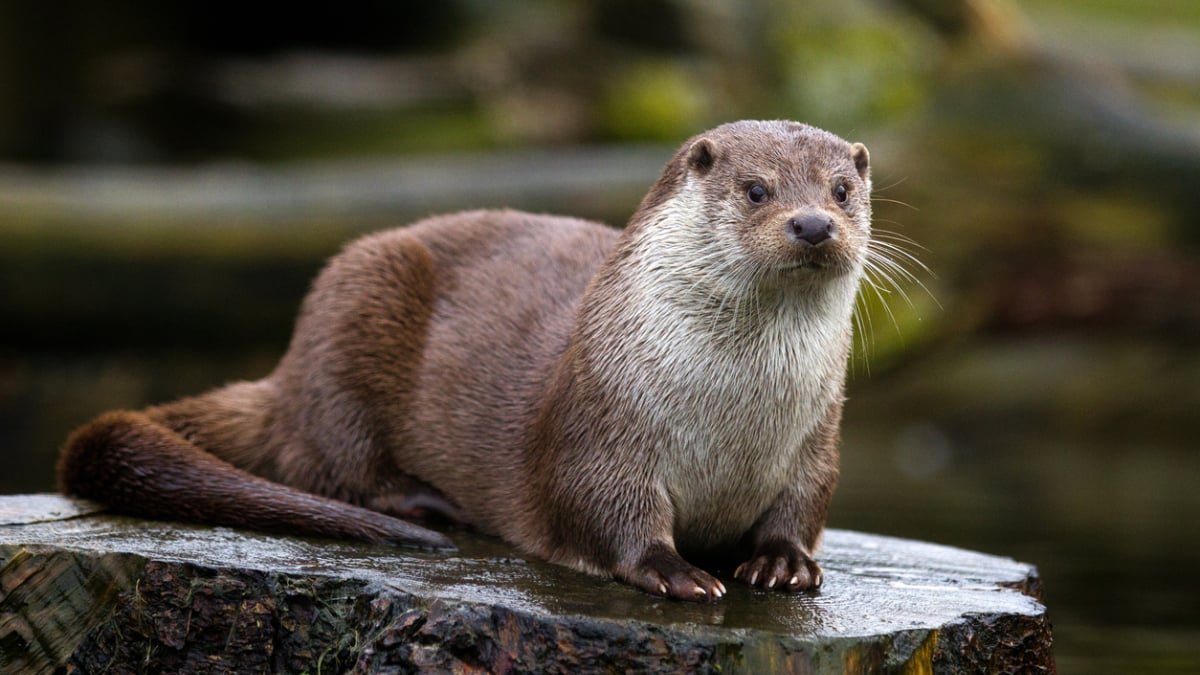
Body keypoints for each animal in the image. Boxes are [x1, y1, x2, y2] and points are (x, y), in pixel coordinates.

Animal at [58, 119, 873, 598]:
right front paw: (676, 571)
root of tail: (285, 375)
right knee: (324, 461)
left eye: (842, 189)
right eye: (757, 189)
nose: (812, 224)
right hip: (352, 307)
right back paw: (424, 504)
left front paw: (781, 562)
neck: (734, 418)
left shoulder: (818, 440)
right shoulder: (600, 426)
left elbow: (805, 505)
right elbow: (603, 509)